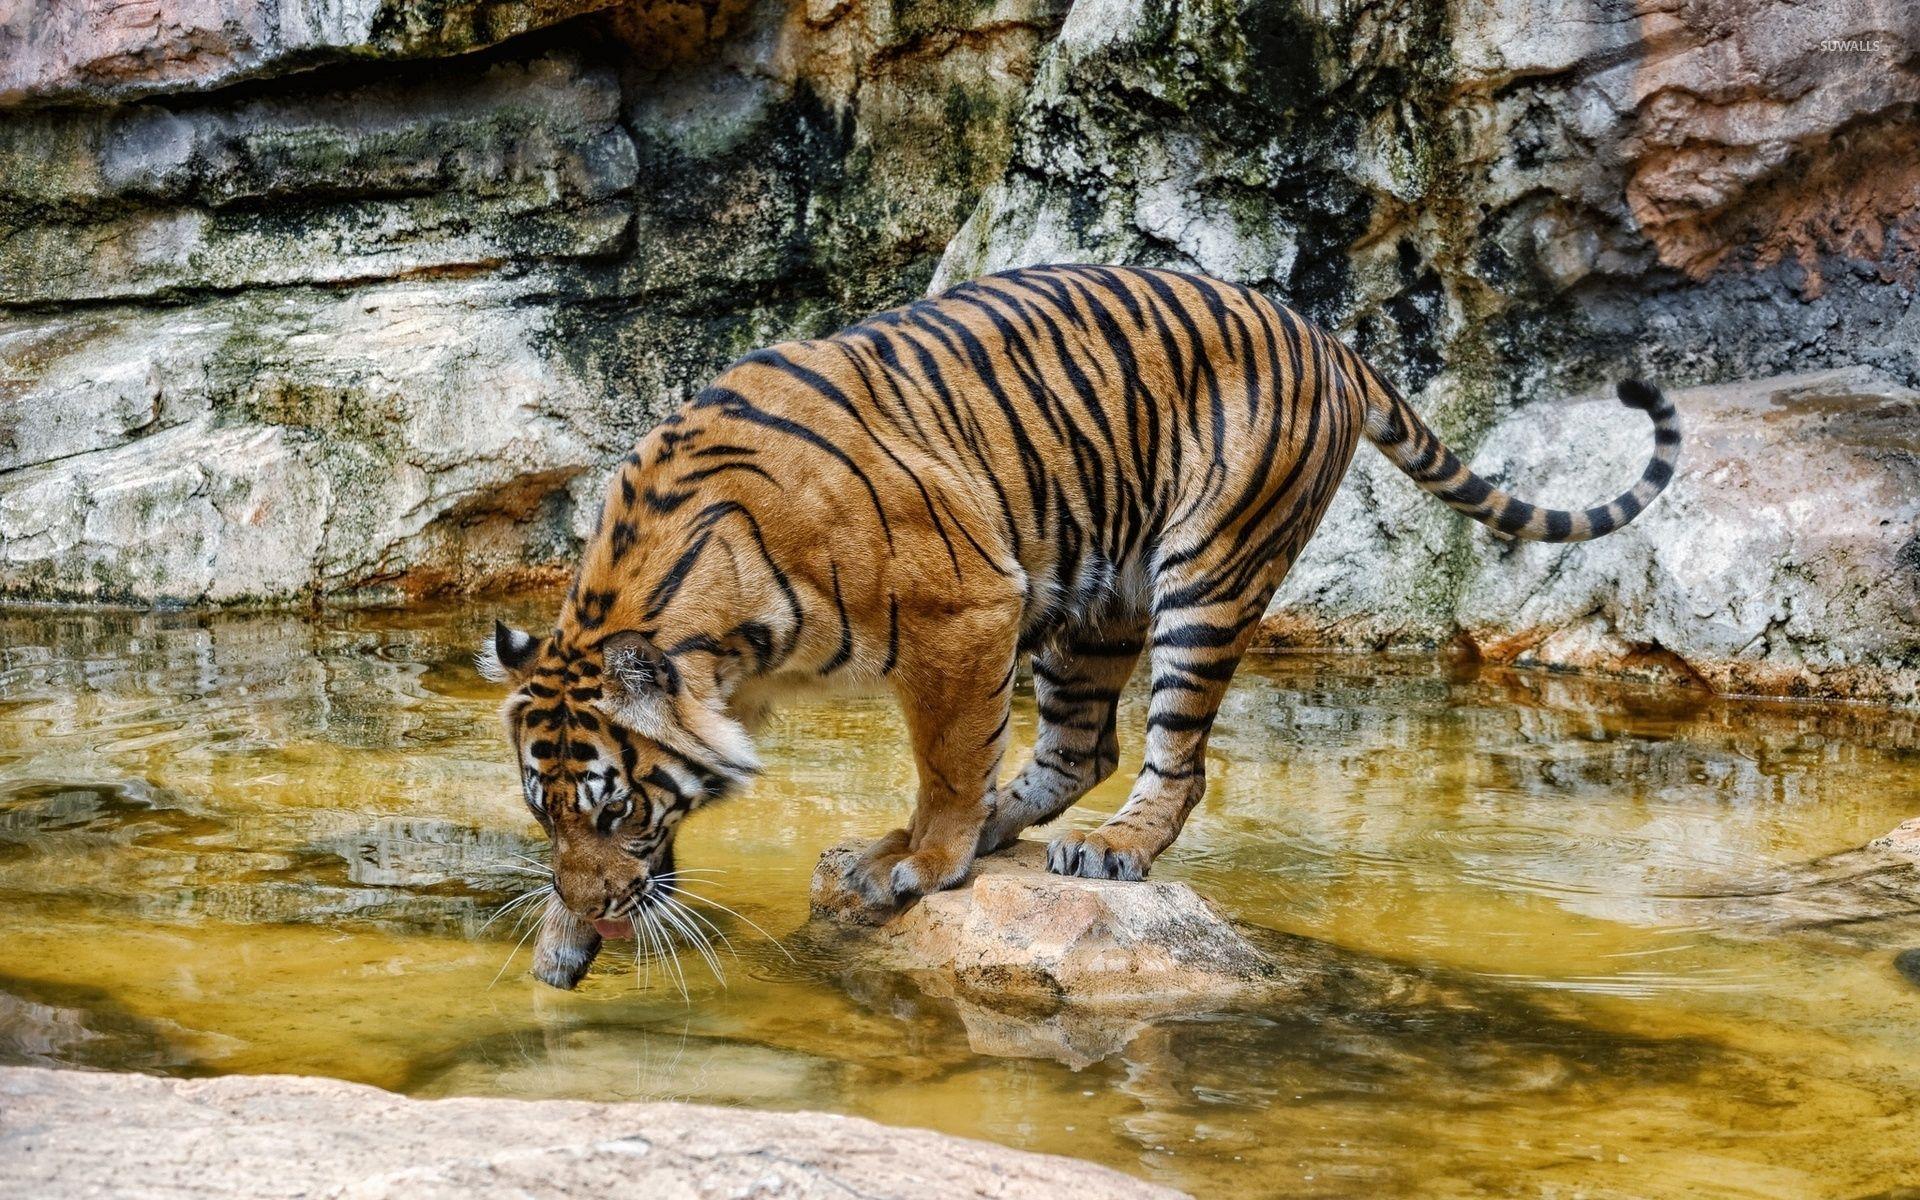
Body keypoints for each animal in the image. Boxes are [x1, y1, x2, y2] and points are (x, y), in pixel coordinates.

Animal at [480, 263, 1680, 987]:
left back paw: (1109, 850)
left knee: (1172, 759)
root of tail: (1327, 335)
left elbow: (948, 758)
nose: (589, 906)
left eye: (617, 806)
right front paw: (563, 938)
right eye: (548, 814)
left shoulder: (965, 609)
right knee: (1080, 745)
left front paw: (923, 863)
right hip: (1095, 599)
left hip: (1209, 569)